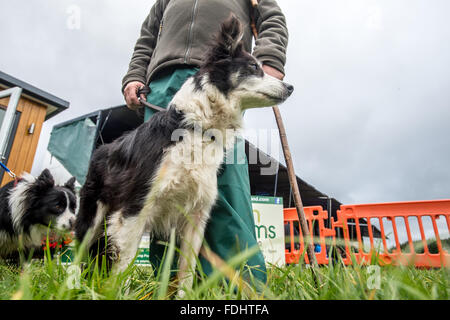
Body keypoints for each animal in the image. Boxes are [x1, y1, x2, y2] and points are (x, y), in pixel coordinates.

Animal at [75, 15, 294, 296]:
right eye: (254, 67)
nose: (290, 86)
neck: (195, 127)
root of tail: (101, 148)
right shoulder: (136, 208)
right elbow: (124, 267)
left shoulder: (196, 216)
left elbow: (187, 273)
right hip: (92, 216)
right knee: (77, 255)